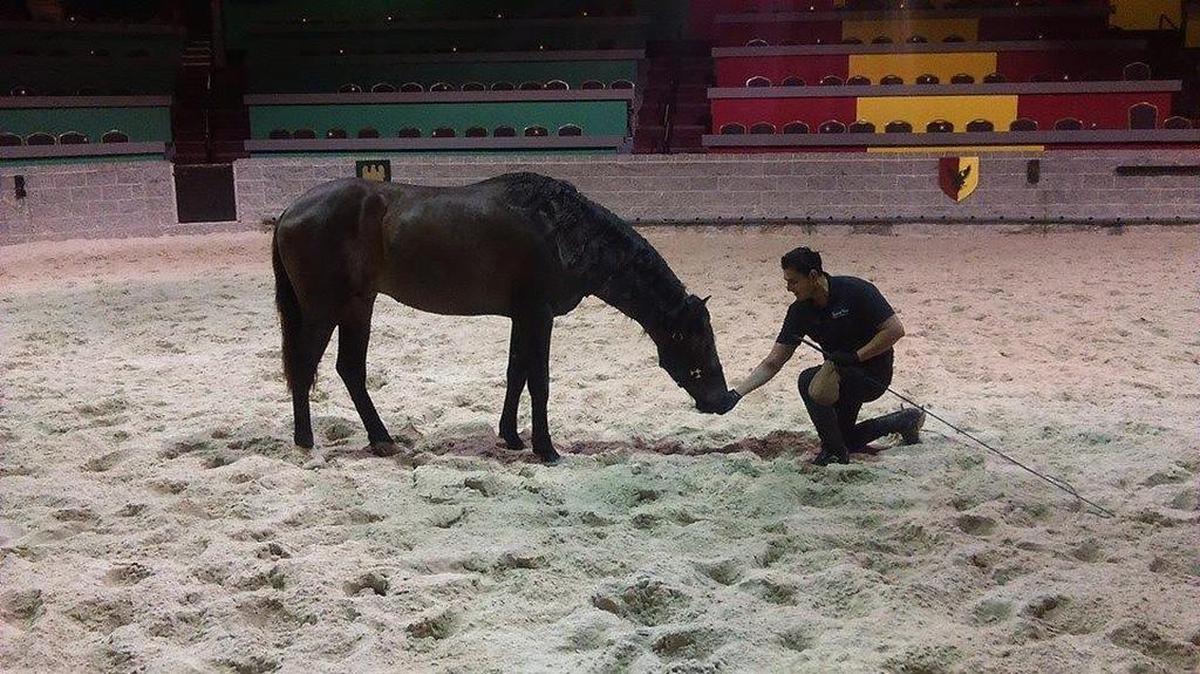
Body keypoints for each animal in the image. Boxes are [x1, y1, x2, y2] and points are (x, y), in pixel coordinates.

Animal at [271, 172, 729, 463]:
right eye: (700, 340)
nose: (723, 400)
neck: (562, 231)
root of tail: (289, 211)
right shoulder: (539, 314)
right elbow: (539, 381)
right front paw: (546, 449)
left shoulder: (522, 316)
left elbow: (516, 373)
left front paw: (511, 436)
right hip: (324, 309)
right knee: (305, 365)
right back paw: (306, 440)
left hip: (357, 306)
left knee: (349, 370)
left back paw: (382, 439)